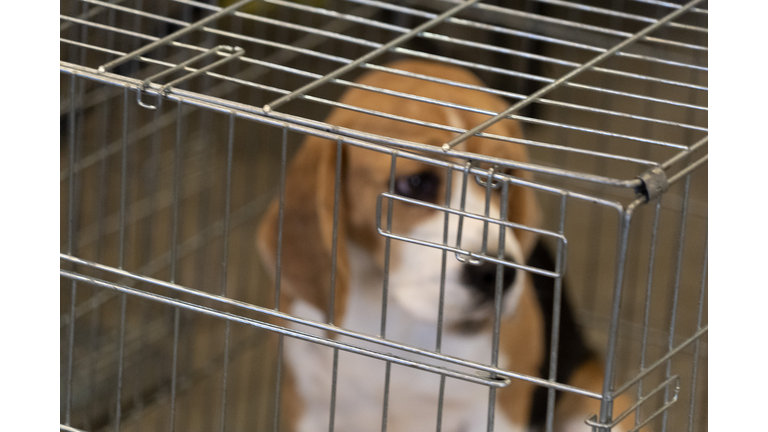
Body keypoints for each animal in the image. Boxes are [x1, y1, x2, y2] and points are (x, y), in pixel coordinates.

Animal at [258, 60, 632, 432]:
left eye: (504, 177)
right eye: (415, 183)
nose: (496, 274)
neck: (396, 318)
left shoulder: (497, 411)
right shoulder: (307, 407)